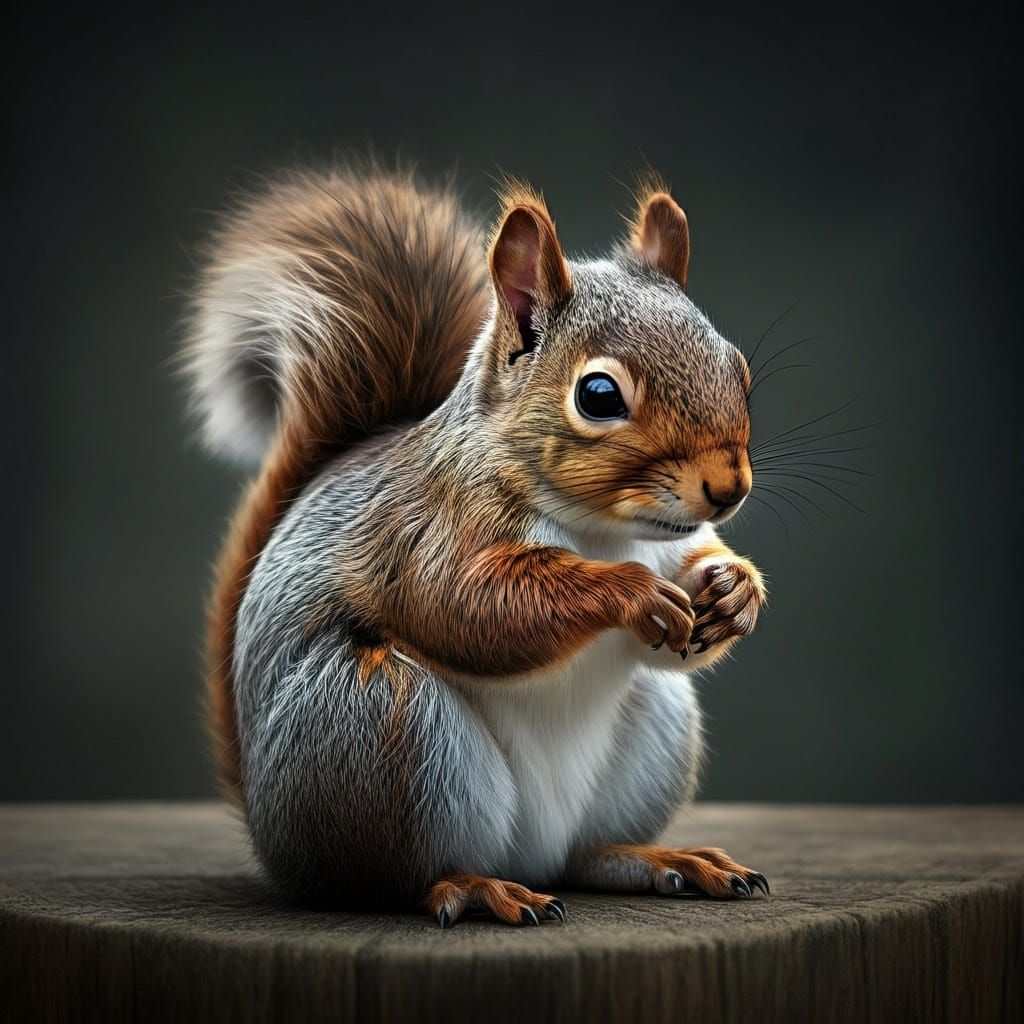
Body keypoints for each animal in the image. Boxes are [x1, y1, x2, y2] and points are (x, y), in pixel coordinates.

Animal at [184, 162, 769, 925]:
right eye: (599, 395)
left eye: (739, 370)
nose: (728, 488)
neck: (607, 531)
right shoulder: (428, 529)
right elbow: (468, 604)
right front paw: (629, 590)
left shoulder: (673, 551)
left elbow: (681, 608)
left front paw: (735, 591)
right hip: (383, 723)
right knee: (389, 881)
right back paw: (471, 887)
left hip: (653, 732)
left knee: (584, 856)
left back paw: (663, 859)